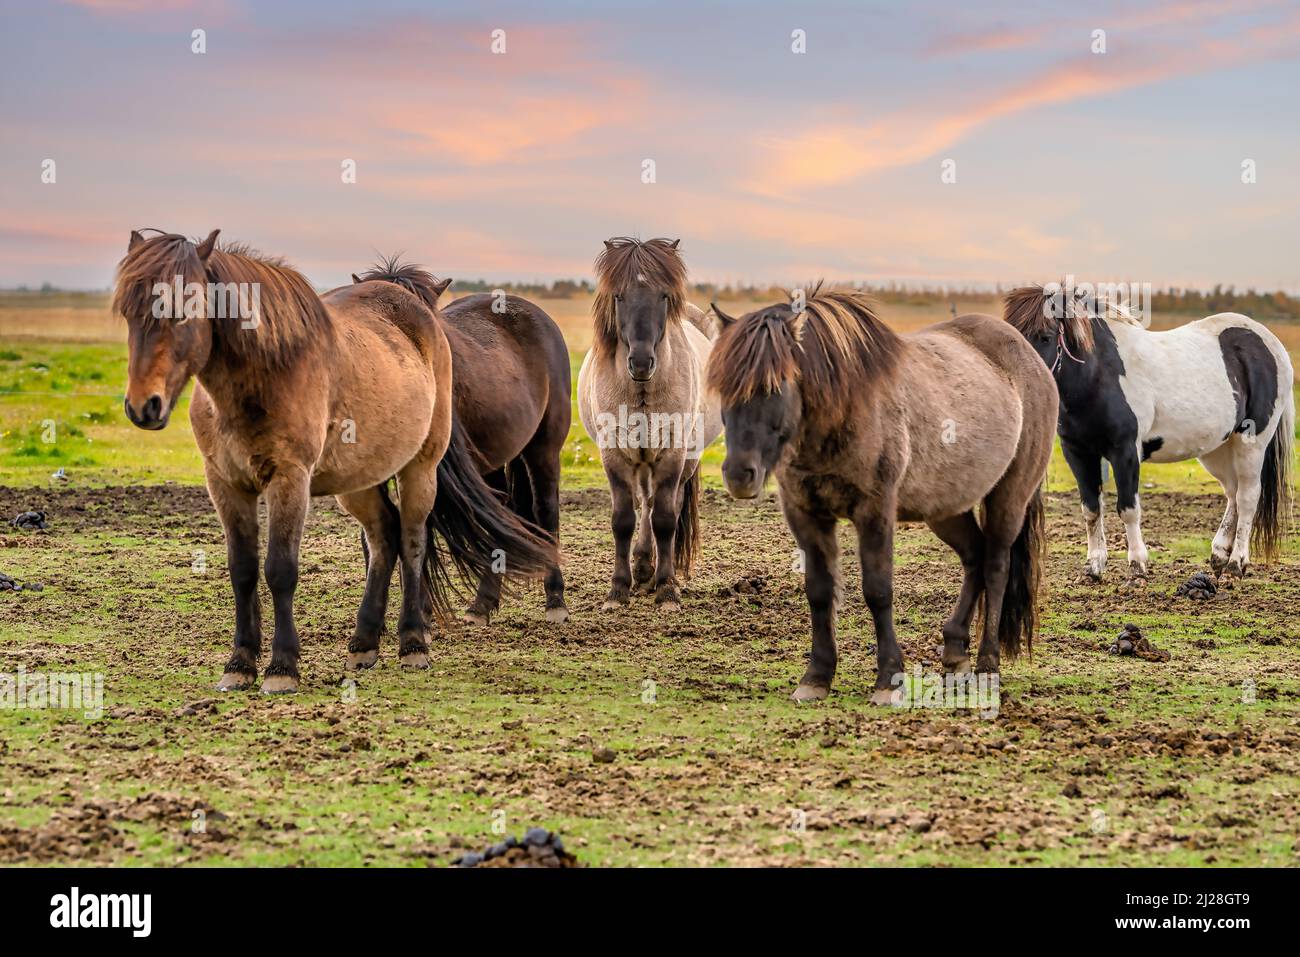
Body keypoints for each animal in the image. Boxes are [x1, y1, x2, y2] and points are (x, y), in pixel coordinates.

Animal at [352, 259, 571, 624]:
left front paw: (419, 615)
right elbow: (375, 537)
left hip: (543, 449)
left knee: (546, 510)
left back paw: (555, 601)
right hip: (492, 463)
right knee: (501, 515)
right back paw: (483, 604)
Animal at [577, 237, 722, 611]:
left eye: (663, 296)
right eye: (618, 296)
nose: (641, 362)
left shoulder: (672, 453)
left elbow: (665, 520)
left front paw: (667, 588)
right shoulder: (614, 454)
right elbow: (623, 520)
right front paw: (618, 590)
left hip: (683, 460)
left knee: (662, 504)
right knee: (645, 500)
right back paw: (642, 568)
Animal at [708, 284, 1058, 703]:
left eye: (774, 386)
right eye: (723, 389)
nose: (738, 475)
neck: (843, 408)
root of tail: (1027, 355)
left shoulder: (875, 510)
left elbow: (877, 591)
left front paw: (889, 680)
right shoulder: (805, 514)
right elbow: (819, 592)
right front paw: (816, 678)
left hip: (1009, 497)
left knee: (995, 567)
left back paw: (988, 666)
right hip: (945, 508)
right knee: (974, 559)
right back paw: (955, 653)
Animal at [1004, 283, 1294, 581]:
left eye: (1046, 337)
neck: (1099, 375)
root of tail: (1268, 342)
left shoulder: (1125, 451)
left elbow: (1128, 509)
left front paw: (1137, 566)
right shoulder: (1077, 452)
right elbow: (1091, 509)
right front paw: (1093, 567)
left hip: (1251, 443)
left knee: (1247, 497)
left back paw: (1236, 564)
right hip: (1218, 449)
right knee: (1233, 493)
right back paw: (1219, 555)